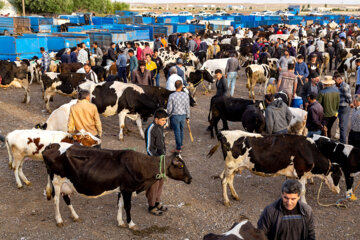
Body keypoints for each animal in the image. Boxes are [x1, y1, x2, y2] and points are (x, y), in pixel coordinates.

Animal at [41, 142, 191, 229]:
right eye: (181, 165)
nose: (190, 178)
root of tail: (51, 145)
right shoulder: (128, 189)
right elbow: (127, 206)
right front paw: (131, 224)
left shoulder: (122, 188)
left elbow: (120, 205)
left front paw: (120, 222)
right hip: (56, 181)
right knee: (56, 200)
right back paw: (59, 220)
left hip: (67, 183)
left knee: (66, 198)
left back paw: (75, 216)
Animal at [207, 130, 342, 205]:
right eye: (338, 175)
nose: (339, 190)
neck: (309, 150)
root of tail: (224, 132)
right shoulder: (301, 172)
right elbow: (303, 191)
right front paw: (304, 203)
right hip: (231, 166)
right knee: (224, 181)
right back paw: (226, 201)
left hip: (234, 167)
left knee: (228, 179)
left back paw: (235, 196)